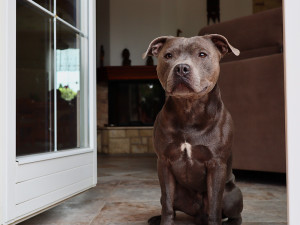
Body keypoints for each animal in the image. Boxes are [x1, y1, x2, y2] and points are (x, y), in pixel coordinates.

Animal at [143, 33, 244, 225]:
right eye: (168, 55)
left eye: (202, 54)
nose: (181, 68)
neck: (189, 110)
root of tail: (198, 215)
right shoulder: (164, 163)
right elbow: (167, 205)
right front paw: (164, 221)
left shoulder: (216, 165)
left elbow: (214, 208)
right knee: (168, 204)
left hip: (232, 195)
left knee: (235, 215)